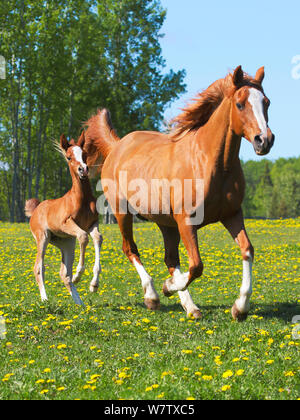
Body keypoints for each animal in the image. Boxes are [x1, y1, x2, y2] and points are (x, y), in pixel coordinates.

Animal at [24, 132, 102, 306]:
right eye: (68, 157)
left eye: (85, 154)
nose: (83, 169)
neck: (81, 199)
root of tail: (36, 209)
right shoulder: (67, 223)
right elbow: (83, 237)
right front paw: (79, 275)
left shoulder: (93, 223)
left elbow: (97, 238)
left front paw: (94, 284)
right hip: (43, 237)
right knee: (39, 268)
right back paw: (45, 299)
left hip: (66, 242)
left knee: (64, 273)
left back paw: (80, 304)